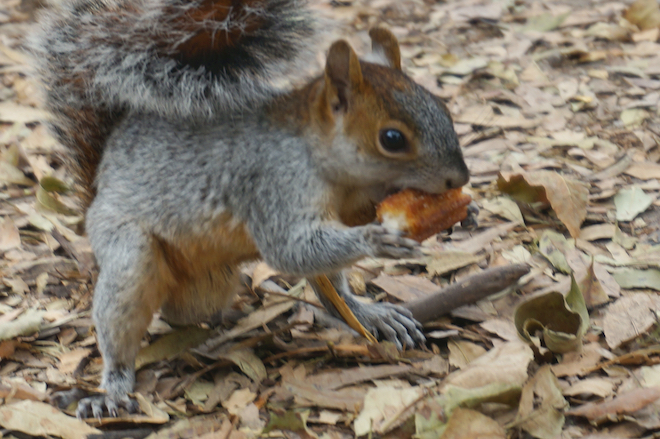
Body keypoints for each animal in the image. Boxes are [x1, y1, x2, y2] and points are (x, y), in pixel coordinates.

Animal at [30, 0, 471, 419]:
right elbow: (290, 249)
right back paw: (113, 388)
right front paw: (377, 239)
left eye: (445, 108)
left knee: (321, 293)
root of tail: (98, 184)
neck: (329, 165)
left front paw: (462, 213)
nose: (460, 179)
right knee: (123, 317)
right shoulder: (272, 184)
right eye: (392, 139)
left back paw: (365, 313)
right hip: (126, 252)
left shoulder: (353, 201)